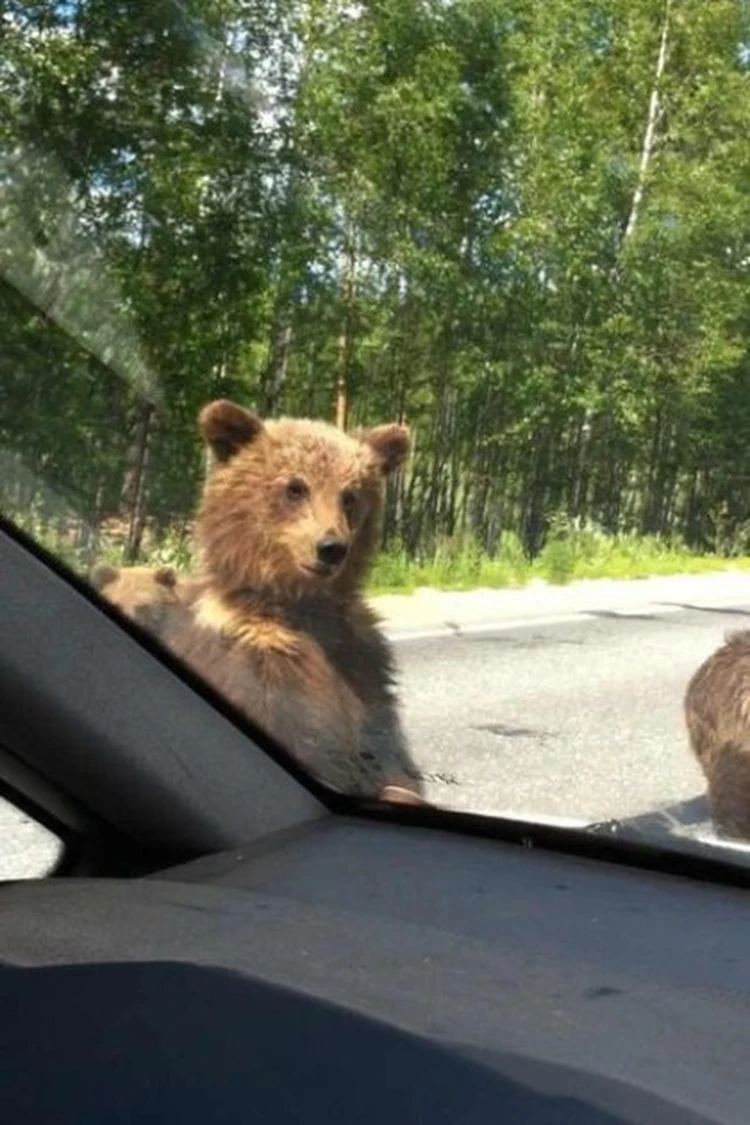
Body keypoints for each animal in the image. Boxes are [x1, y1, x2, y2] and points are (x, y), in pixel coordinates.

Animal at [149, 400, 425, 805]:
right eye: (296, 487)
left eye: (350, 495)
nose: (331, 547)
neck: (301, 606)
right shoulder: (253, 660)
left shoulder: (363, 661)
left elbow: (390, 757)